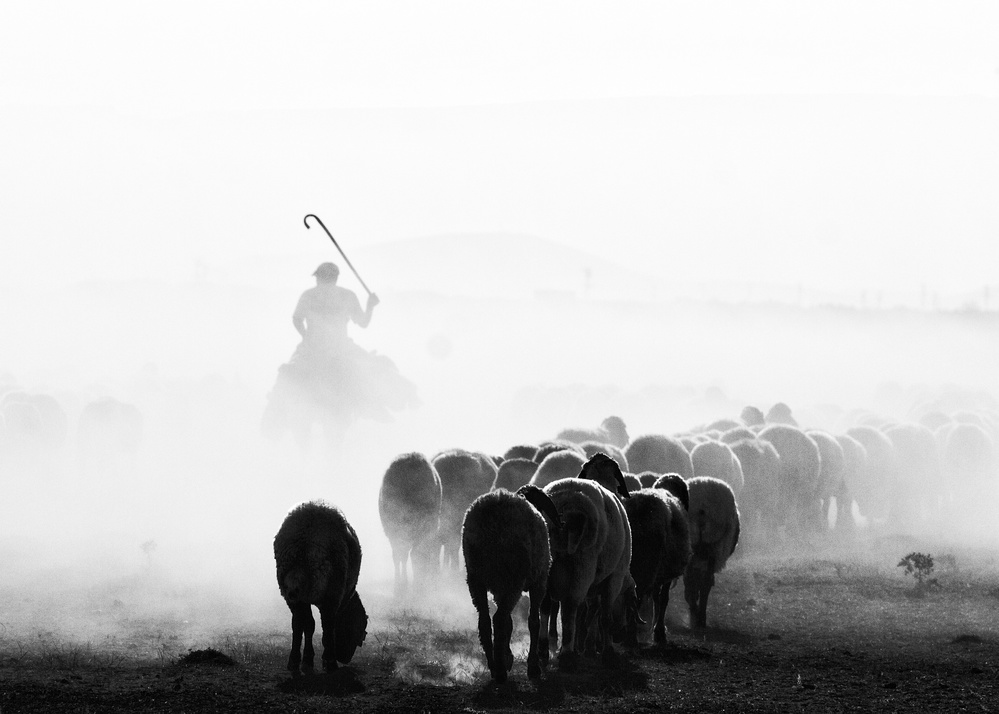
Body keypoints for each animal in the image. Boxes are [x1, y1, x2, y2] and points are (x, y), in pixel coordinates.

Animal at [274, 498, 368, 672]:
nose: (345, 659)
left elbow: (307, 625)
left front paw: (307, 660)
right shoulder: (337, 597)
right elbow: (327, 627)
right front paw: (324, 660)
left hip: (289, 590)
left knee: (298, 623)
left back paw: (295, 661)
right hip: (332, 588)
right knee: (327, 624)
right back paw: (330, 662)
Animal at [460, 484, 564, 680]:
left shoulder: (499, 590)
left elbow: (510, 623)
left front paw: (507, 655)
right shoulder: (538, 583)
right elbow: (533, 622)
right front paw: (532, 666)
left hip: (476, 578)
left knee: (485, 621)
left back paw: (494, 665)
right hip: (513, 577)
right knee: (499, 619)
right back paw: (500, 671)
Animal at [540, 458, 632, 664]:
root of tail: (565, 508)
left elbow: (591, 611)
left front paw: (586, 646)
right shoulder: (615, 576)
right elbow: (604, 615)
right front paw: (604, 650)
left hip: (546, 564)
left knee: (545, 606)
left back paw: (542, 651)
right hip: (583, 564)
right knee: (570, 606)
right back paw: (567, 654)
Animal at [620, 486, 692, 644]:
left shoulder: (659, 574)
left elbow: (656, 598)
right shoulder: (665, 573)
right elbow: (663, 600)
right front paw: (659, 631)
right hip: (647, 565)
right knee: (637, 597)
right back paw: (631, 635)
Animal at [684, 476, 740, 624]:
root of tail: (702, 506)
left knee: (697, 580)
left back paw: (697, 613)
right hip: (715, 545)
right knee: (706, 581)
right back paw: (700, 616)